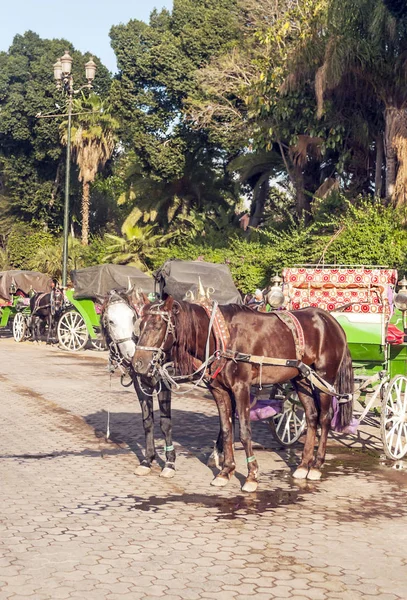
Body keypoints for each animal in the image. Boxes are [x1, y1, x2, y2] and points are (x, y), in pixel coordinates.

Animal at [133, 298, 354, 492]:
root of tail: (330, 319)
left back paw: (316, 465)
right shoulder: (219, 390)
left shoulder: (241, 388)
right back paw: (303, 464)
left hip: (325, 377)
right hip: (302, 379)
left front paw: (251, 476)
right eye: (140, 326)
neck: (222, 337)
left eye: (157, 326)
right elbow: (226, 429)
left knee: (324, 418)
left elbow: (245, 432)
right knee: (311, 417)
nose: (137, 363)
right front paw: (225, 471)